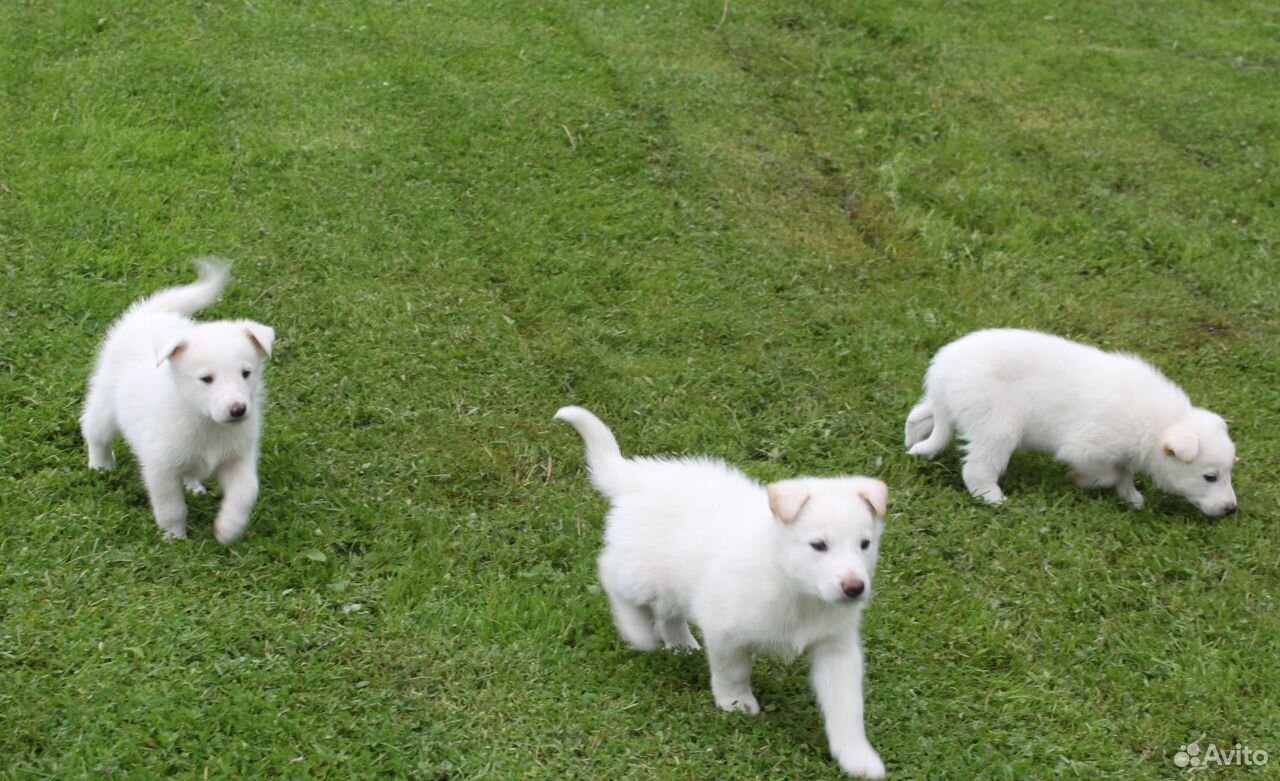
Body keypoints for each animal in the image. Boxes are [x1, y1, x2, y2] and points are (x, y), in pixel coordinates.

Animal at [82, 259, 275, 540]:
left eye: (246, 373)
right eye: (206, 379)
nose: (238, 410)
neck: (205, 422)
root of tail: (148, 315)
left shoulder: (237, 457)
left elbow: (246, 491)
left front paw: (228, 528)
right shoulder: (160, 467)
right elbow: (172, 508)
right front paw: (175, 539)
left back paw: (194, 486)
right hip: (105, 406)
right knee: (95, 432)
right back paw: (100, 466)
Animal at [550, 404, 890, 773]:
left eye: (865, 544)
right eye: (819, 545)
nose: (854, 588)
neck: (795, 588)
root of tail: (640, 475)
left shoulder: (836, 647)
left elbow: (847, 707)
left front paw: (858, 757)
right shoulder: (726, 630)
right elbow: (734, 671)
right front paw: (736, 702)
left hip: (675, 580)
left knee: (667, 612)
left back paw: (681, 643)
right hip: (639, 572)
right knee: (609, 573)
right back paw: (639, 632)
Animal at [906, 325, 1233, 514]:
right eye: (1210, 477)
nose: (1231, 509)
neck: (1160, 421)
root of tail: (944, 368)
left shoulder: (1125, 451)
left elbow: (1124, 472)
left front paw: (1131, 497)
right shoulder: (1086, 448)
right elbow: (1109, 473)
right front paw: (1081, 480)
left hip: (954, 409)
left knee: (920, 415)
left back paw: (913, 441)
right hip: (997, 427)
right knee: (976, 468)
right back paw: (992, 497)